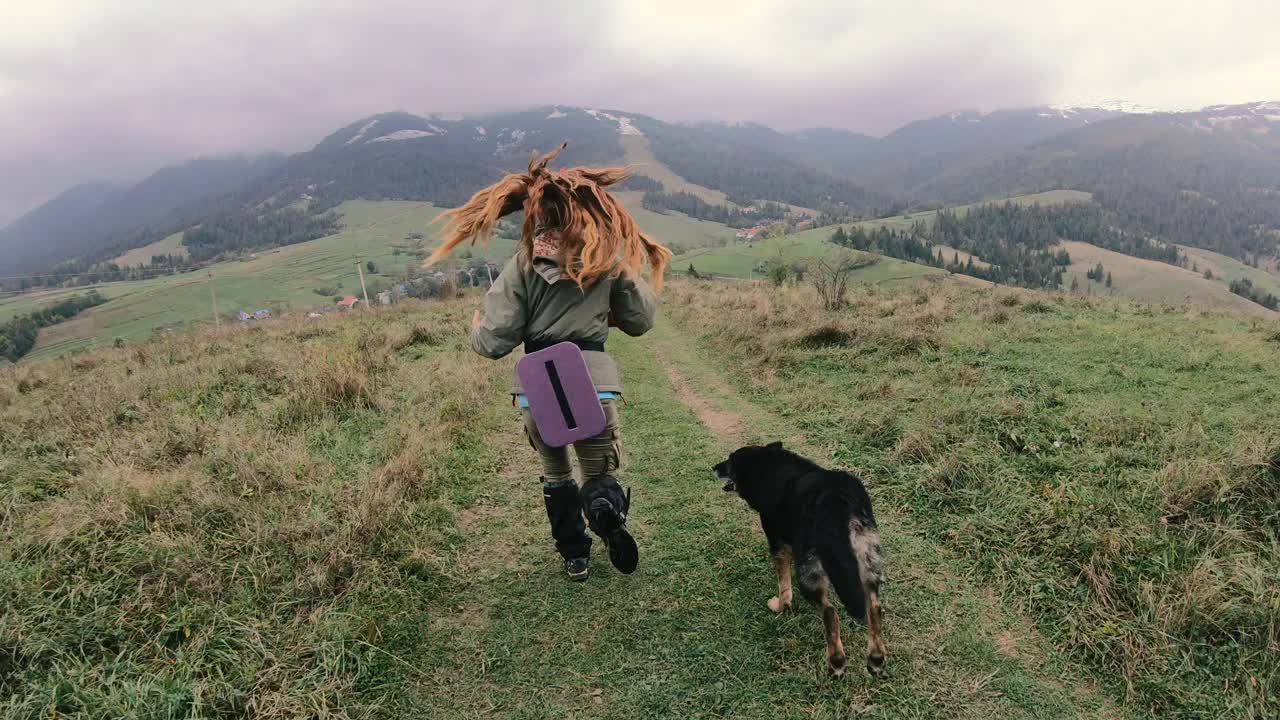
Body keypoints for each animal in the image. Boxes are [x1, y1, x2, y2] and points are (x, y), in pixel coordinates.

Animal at [716, 438, 885, 671]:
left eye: (729, 461)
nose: (713, 468)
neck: (767, 464)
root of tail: (838, 499)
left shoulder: (778, 545)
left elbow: (784, 587)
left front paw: (779, 607)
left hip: (808, 571)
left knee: (830, 612)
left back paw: (836, 661)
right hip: (868, 560)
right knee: (874, 607)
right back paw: (876, 658)